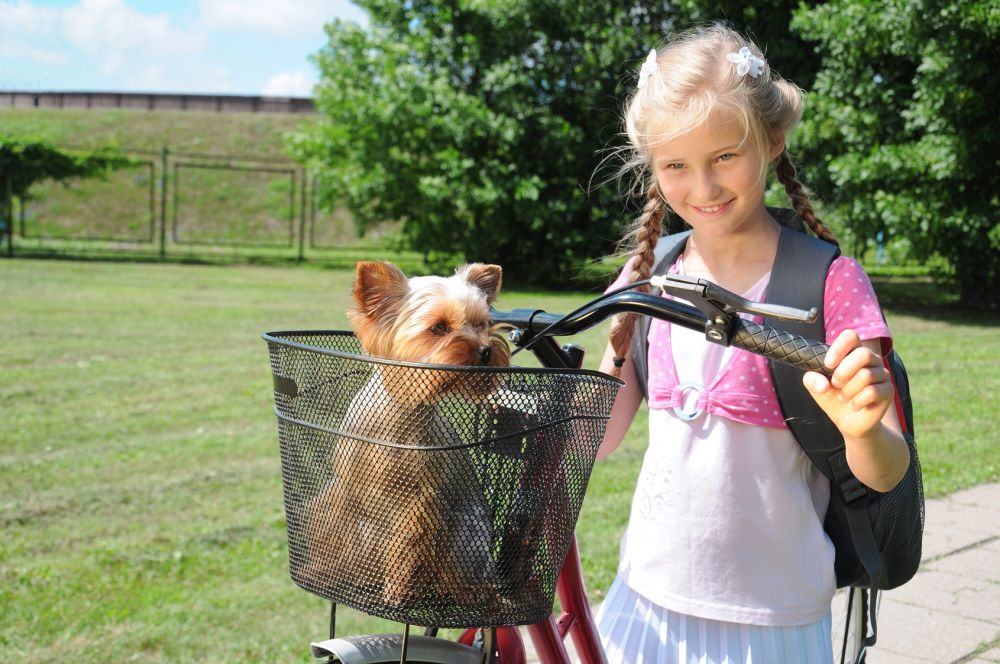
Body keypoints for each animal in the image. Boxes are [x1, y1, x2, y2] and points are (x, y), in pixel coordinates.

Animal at [298, 260, 512, 612]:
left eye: (482, 324)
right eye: (439, 327)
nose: (484, 350)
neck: (401, 411)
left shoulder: (421, 501)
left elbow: (407, 547)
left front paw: (397, 591)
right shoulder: (347, 489)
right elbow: (340, 537)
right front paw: (329, 572)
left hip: (467, 532)